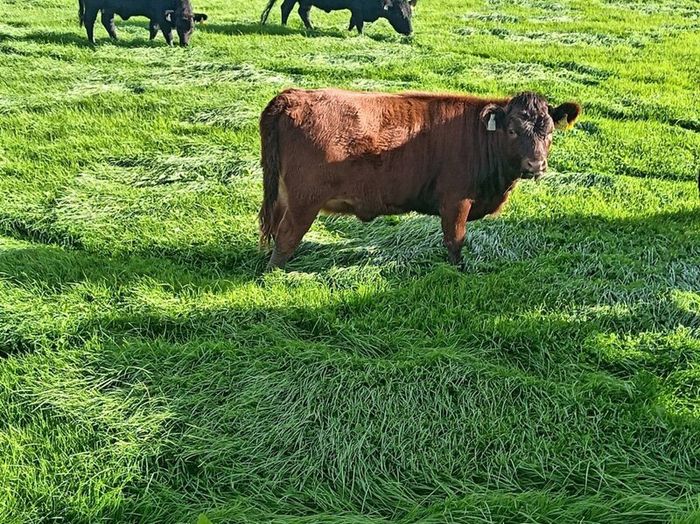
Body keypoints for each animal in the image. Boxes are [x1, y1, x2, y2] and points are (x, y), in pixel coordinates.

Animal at [78, 0, 207, 46]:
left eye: (192, 28)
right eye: (178, 27)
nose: (185, 44)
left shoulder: (155, 16)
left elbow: (153, 28)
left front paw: (150, 41)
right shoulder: (161, 15)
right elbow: (167, 32)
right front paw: (170, 45)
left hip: (108, 8)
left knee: (107, 22)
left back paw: (115, 39)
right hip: (92, 6)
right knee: (89, 21)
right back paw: (92, 41)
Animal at [258, 88, 581, 269]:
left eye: (549, 132)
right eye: (512, 131)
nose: (536, 164)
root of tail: (292, 96)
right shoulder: (456, 202)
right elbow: (455, 241)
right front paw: (458, 271)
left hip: (284, 197)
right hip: (304, 201)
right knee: (286, 236)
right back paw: (277, 274)